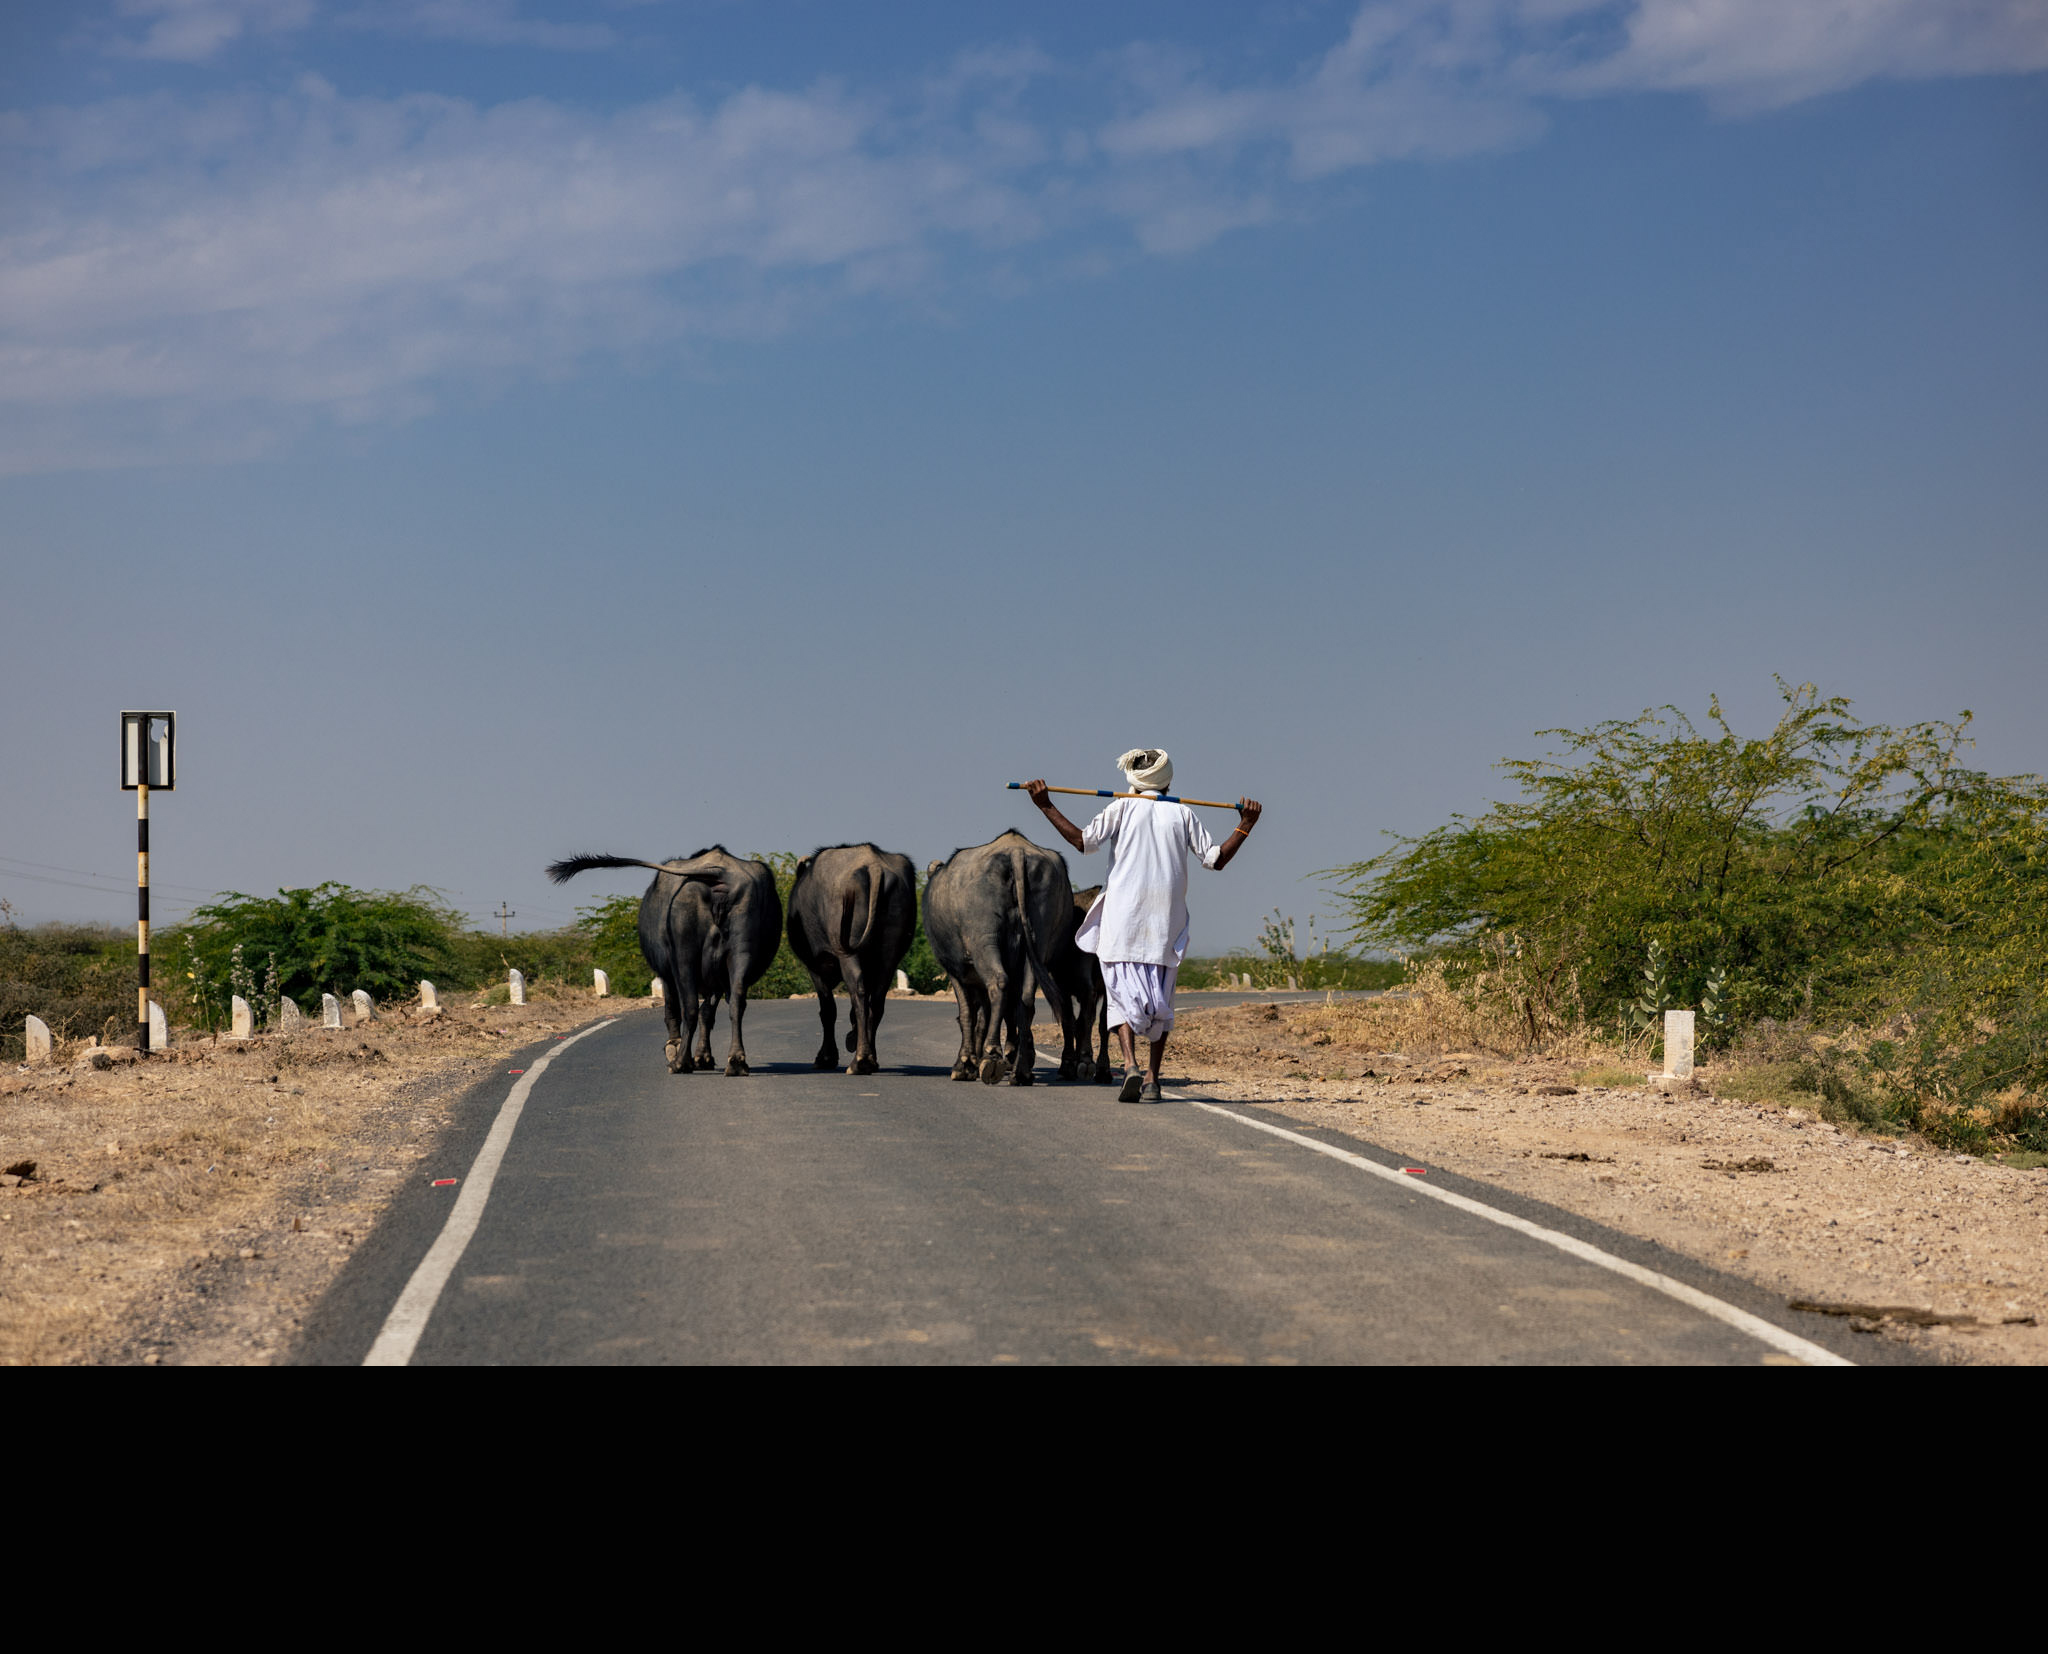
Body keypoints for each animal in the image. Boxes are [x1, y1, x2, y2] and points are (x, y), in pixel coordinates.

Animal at [545, 847, 781, 1076]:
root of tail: (719, 871)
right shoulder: (717, 981)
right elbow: (707, 1014)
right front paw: (703, 1057)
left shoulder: (669, 975)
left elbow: (674, 1010)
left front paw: (675, 1047)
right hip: (741, 952)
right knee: (736, 1003)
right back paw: (737, 1062)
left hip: (684, 957)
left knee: (689, 1008)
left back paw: (680, 1062)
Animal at [784, 843, 918, 1075]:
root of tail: (874, 866)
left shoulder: (816, 967)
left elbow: (827, 1009)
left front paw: (826, 1057)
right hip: (890, 954)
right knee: (877, 1000)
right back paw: (870, 1058)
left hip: (847, 954)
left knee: (858, 991)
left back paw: (860, 1061)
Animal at [923, 830, 1074, 1086]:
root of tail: (1016, 850)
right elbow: (992, 1015)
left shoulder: (956, 971)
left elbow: (968, 1014)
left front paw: (964, 1064)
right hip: (1038, 941)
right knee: (1026, 998)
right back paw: (1020, 1070)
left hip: (985, 941)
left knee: (998, 983)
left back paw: (992, 1057)